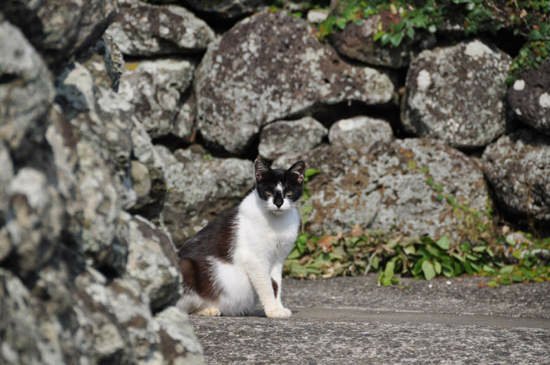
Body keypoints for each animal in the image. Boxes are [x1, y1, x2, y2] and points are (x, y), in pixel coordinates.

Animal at [178, 158, 306, 318]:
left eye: (289, 192)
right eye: (268, 192)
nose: (278, 203)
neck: (277, 222)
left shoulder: (278, 259)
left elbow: (276, 285)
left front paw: (278, 308)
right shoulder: (254, 259)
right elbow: (266, 285)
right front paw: (272, 310)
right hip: (185, 267)